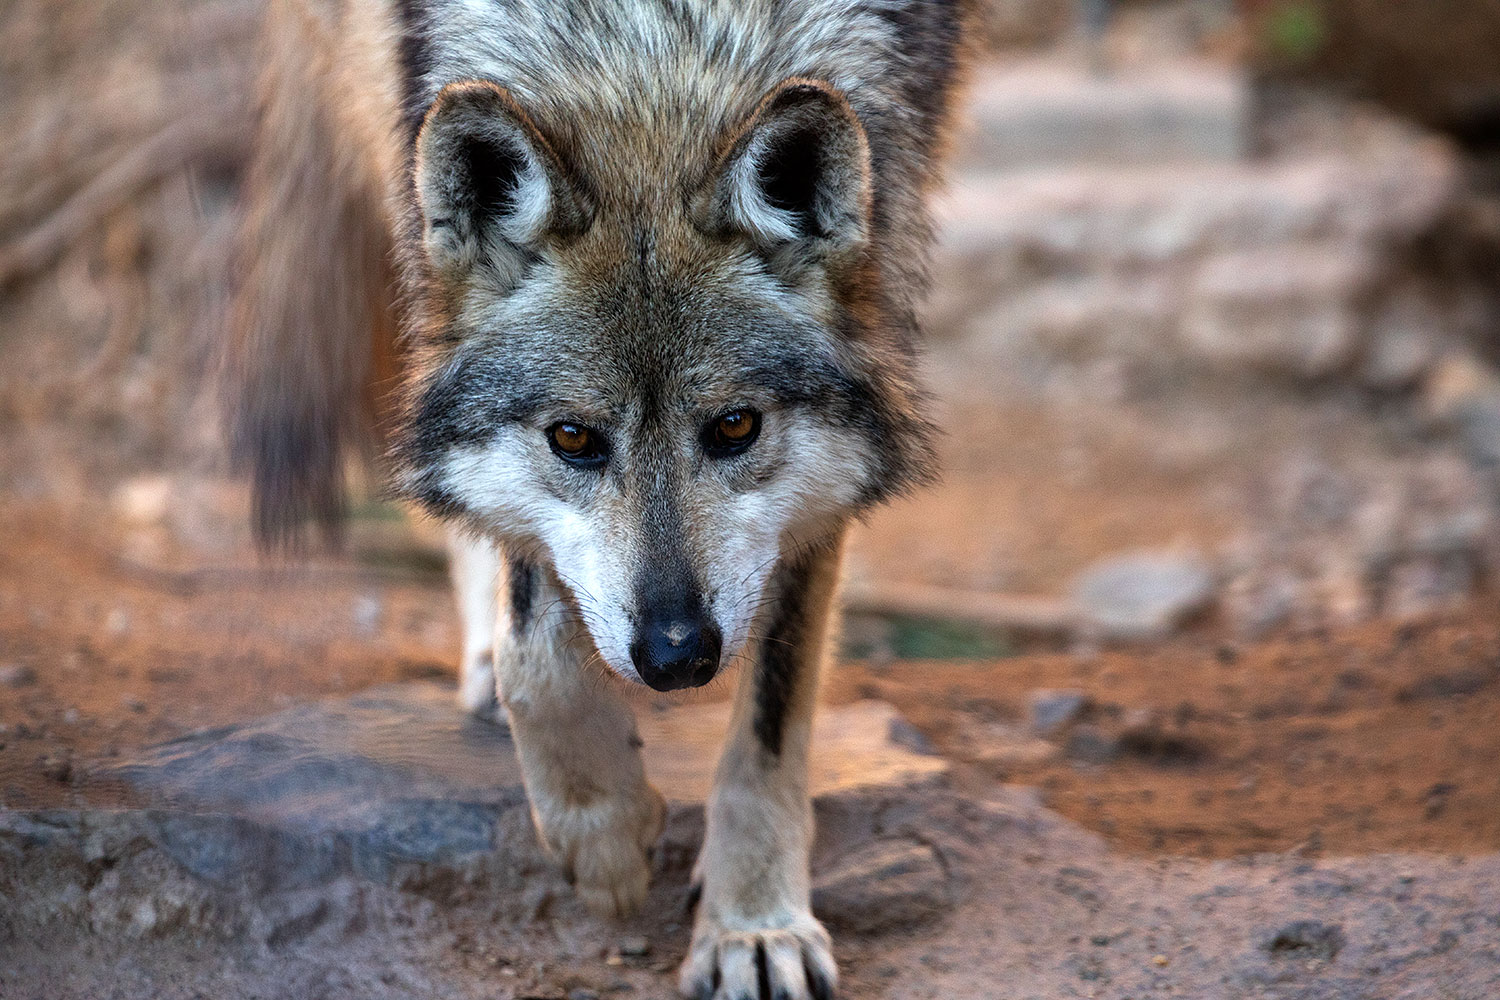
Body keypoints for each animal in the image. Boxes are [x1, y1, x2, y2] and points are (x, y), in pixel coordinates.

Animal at [224, 1, 968, 995]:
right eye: (574, 439)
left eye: (735, 427)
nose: (677, 655)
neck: (653, 64)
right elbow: (534, 652)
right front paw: (605, 839)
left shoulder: (820, 485)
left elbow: (770, 724)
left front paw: (752, 925)